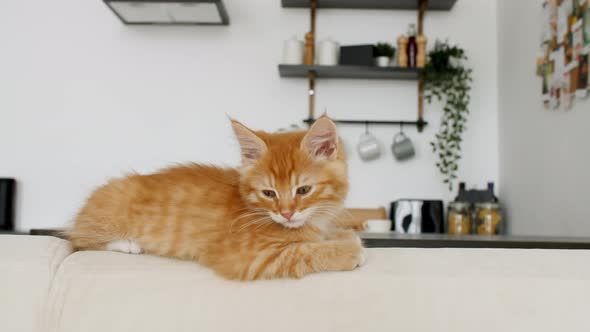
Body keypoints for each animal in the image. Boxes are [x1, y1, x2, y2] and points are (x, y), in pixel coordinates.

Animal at [68, 116, 366, 280]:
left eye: (303, 190)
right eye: (269, 193)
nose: (286, 213)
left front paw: (345, 237)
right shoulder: (249, 257)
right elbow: (304, 252)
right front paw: (349, 251)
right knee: (81, 241)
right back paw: (128, 244)